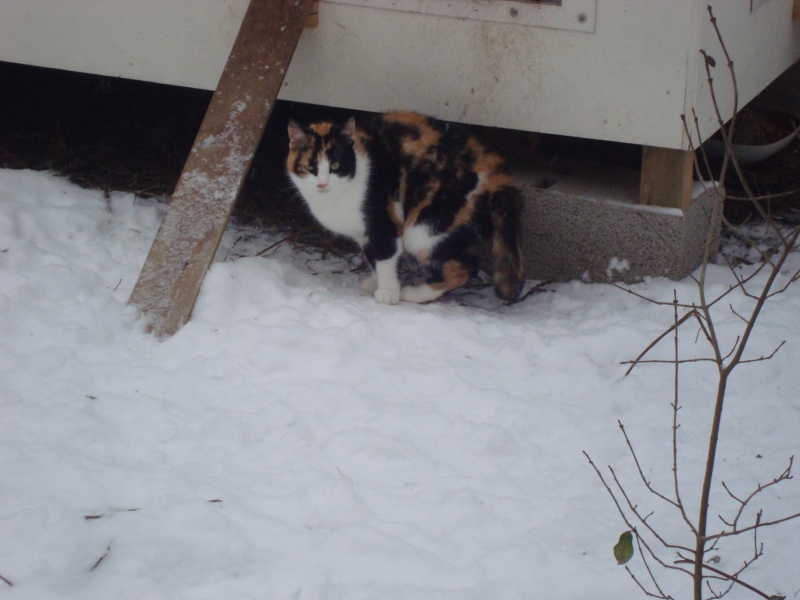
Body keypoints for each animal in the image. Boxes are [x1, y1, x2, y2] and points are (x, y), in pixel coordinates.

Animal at [286, 110, 524, 302]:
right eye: (311, 167)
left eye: (335, 166)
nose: (322, 184)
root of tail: (499, 174)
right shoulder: (364, 233)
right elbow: (375, 257)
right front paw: (376, 281)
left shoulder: (384, 221)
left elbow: (386, 255)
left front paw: (389, 292)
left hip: (426, 226)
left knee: (466, 268)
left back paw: (416, 294)